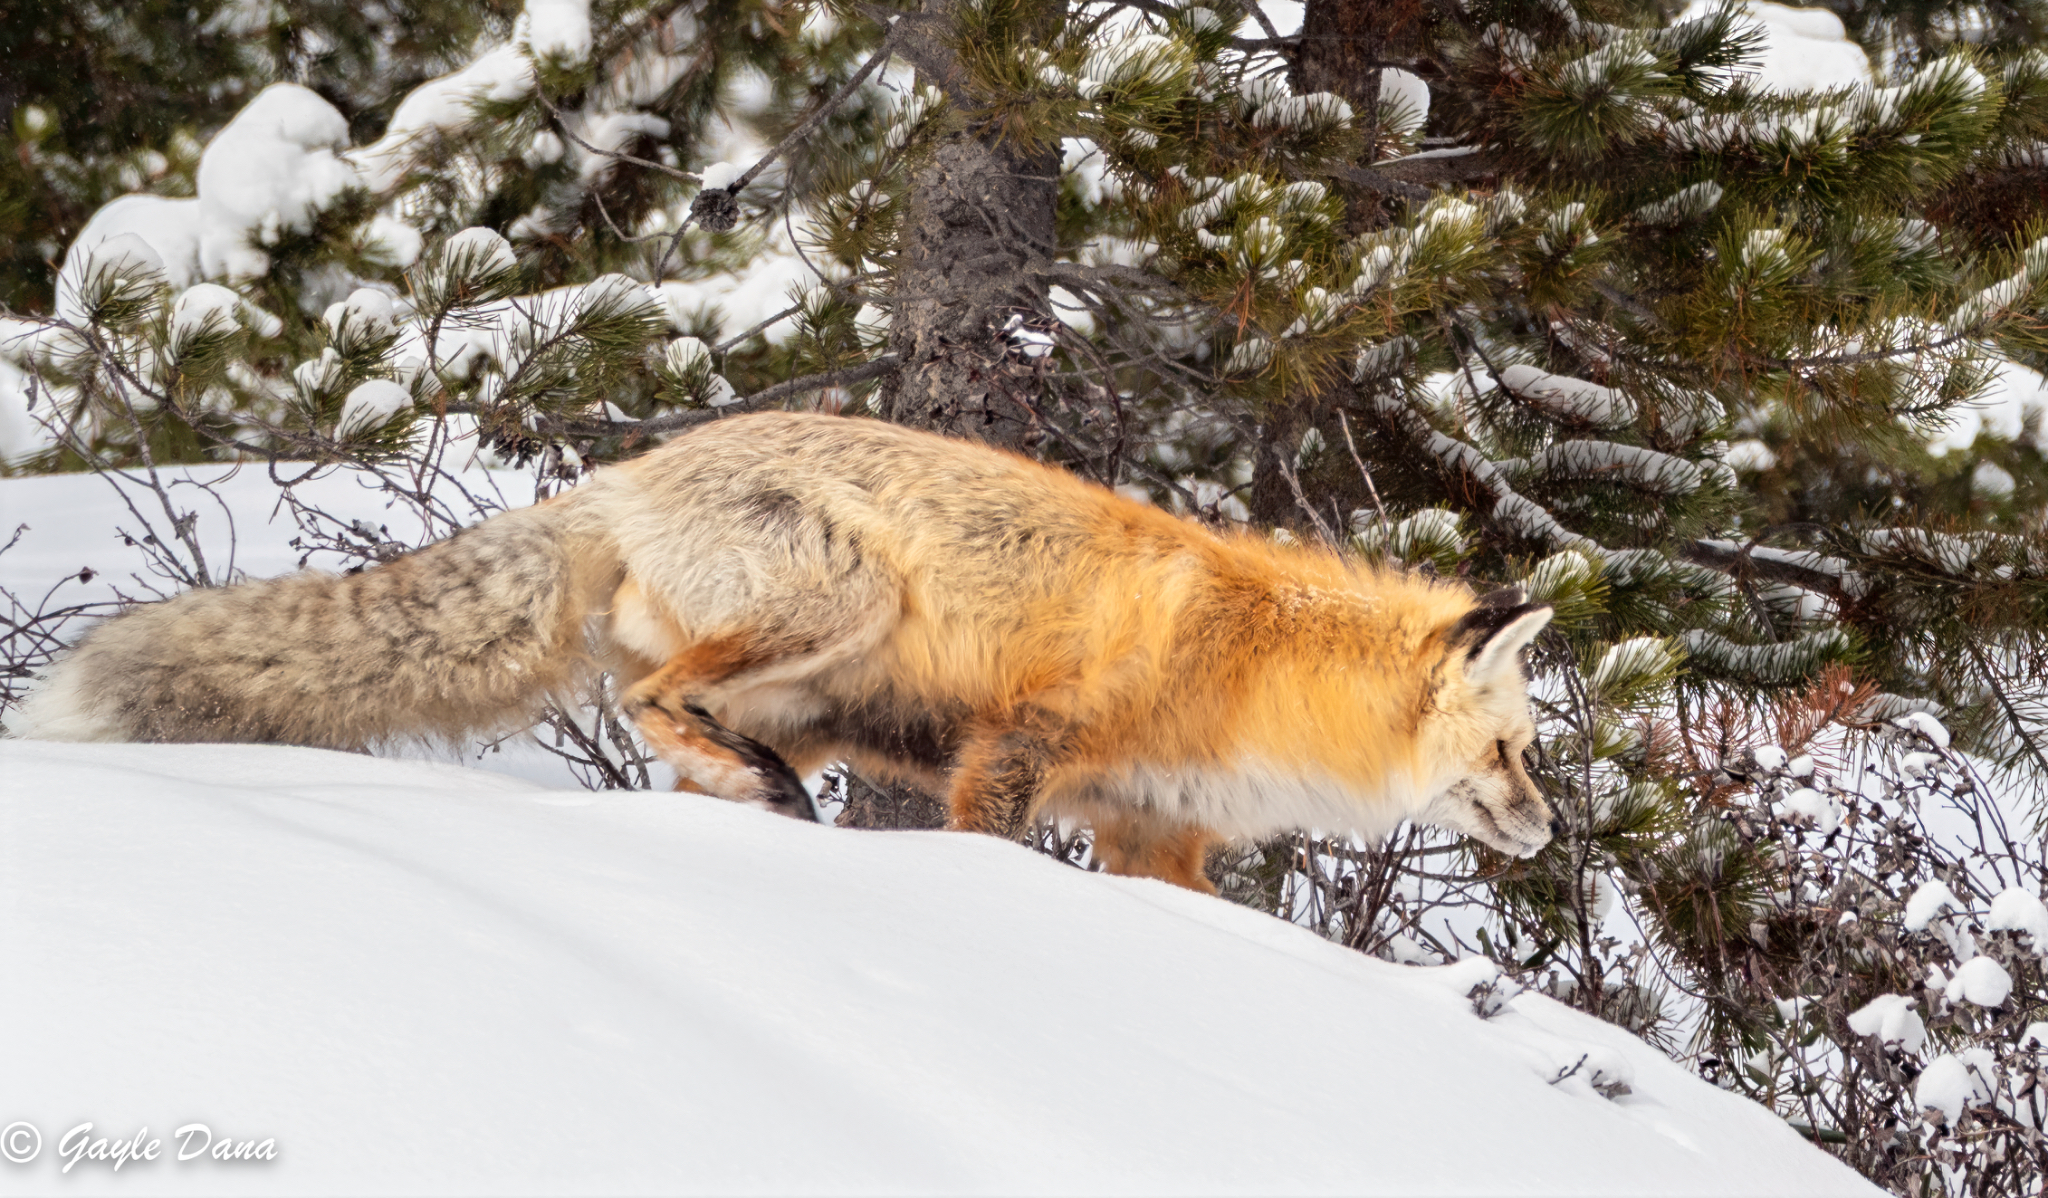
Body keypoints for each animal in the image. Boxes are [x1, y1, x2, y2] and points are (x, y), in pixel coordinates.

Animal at [15, 411, 1560, 890]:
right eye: (1512, 750)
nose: (1548, 829)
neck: (1248, 669)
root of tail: (628, 472)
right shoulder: (1023, 745)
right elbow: (987, 842)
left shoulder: (1151, 832)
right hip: (836, 605)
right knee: (650, 694)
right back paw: (753, 790)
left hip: (820, 693)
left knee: (682, 735)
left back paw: (746, 797)